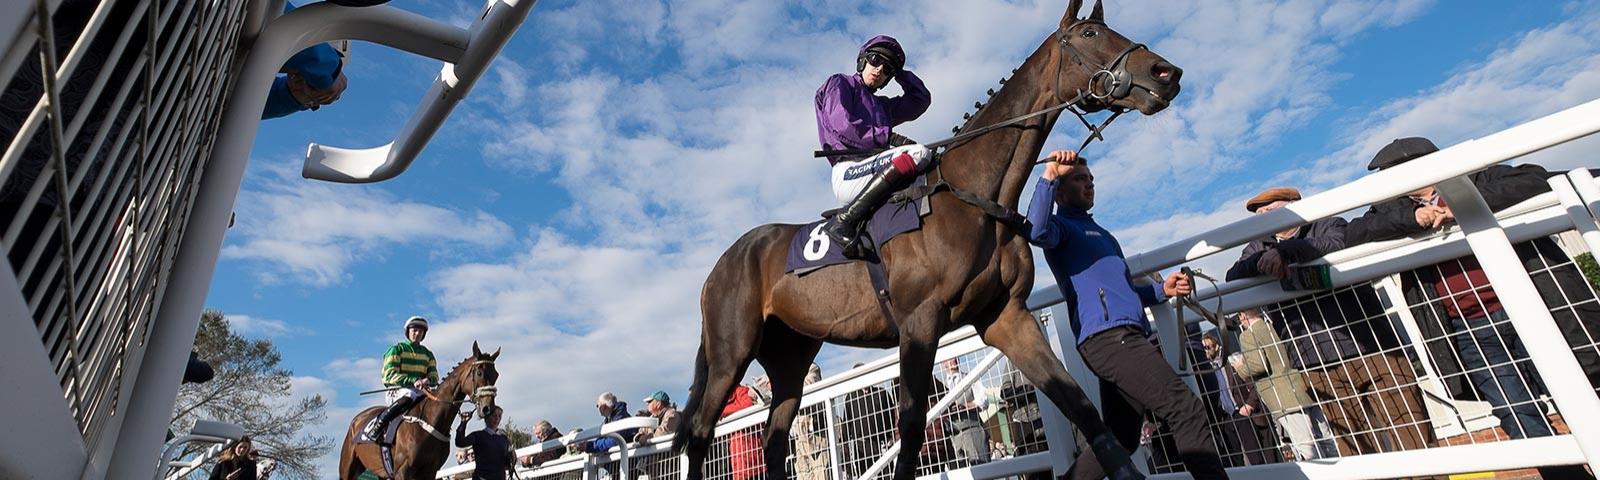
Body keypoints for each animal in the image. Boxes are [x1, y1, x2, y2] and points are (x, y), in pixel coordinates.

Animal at [339, 343, 502, 479]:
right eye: (479, 373)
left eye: (496, 375)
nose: (488, 408)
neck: (431, 418)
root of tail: (356, 420)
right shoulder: (402, 470)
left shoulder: (430, 470)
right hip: (347, 468)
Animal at [674, 1, 1182, 480]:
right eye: (1090, 33)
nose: (1167, 73)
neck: (973, 195)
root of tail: (721, 263)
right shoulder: (919, 322)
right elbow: (913, 424)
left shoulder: (1005, 317)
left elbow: (1080, 405)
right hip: (731, 352)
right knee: (700, 434)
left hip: (790, 360)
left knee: (775, 440)